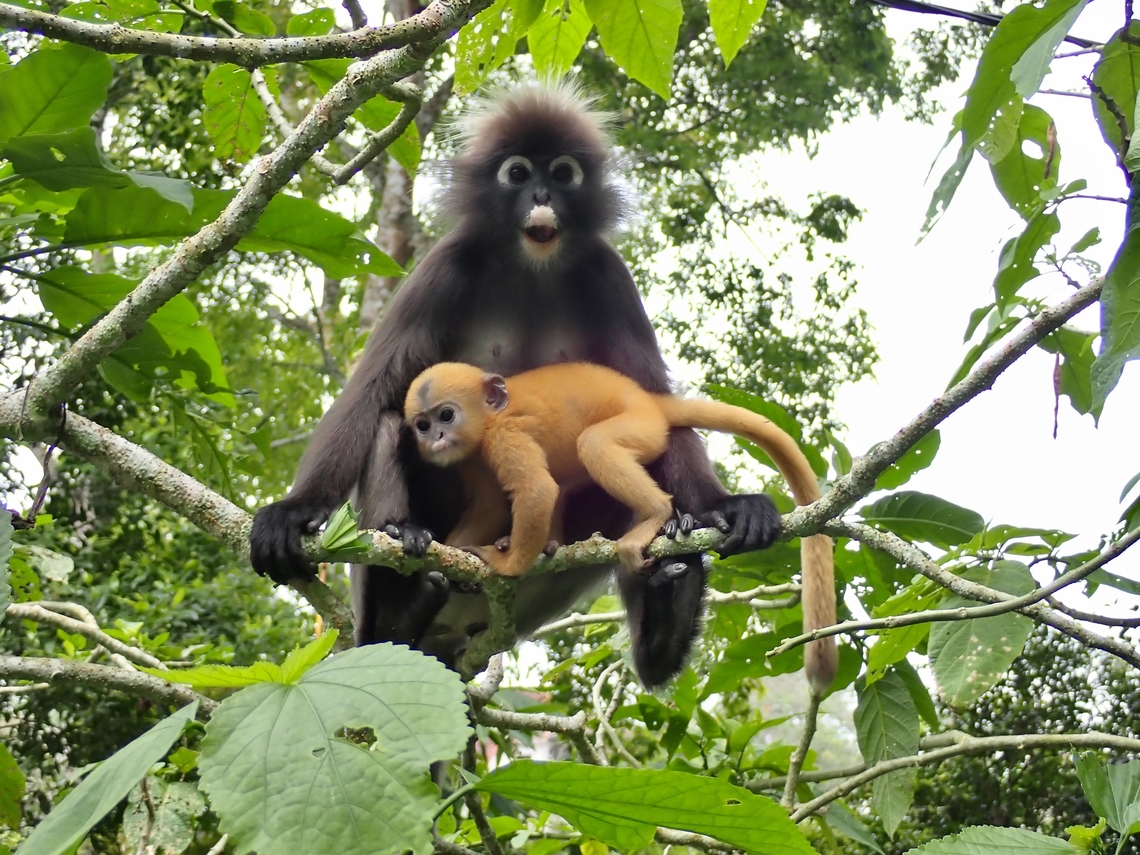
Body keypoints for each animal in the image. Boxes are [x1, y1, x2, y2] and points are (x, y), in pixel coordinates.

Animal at [249, 81, 785, 687]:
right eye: (518, 173)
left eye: (563, 173)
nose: (541, 196)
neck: (534, 264)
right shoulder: (444, 264)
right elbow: (370, 394)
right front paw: (293, 511)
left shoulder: (609, 274)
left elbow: (654, 402)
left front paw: (724, 505)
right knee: (387, 424)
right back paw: (400, 604)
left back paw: (667, 619)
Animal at [405, 361, 837, 691]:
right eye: (422, 424)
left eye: (447, 415)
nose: (436, 437)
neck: (489, 419)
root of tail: (650, 401)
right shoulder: (472, 459)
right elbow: (490, 506)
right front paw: (447, 563)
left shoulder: (504, 437)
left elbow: (536, 490)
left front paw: (505, 564)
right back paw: (552, 545)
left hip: (641, 427)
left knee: (593, 445)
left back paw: (654, 517)